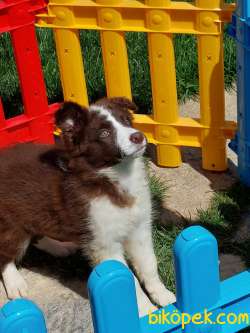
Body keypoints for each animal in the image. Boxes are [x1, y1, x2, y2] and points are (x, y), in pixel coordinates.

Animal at [0, 97, 176, 316]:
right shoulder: (104, 243)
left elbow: (149, 264)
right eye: (104, 133)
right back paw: (15, 283)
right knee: (6, 254)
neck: (116, 176)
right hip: (10, 223)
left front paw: (164, 296)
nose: (138, 136)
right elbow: (128, 279)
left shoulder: (139, 228)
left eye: (126, 120)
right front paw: (146, 312)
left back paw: (60, 247)